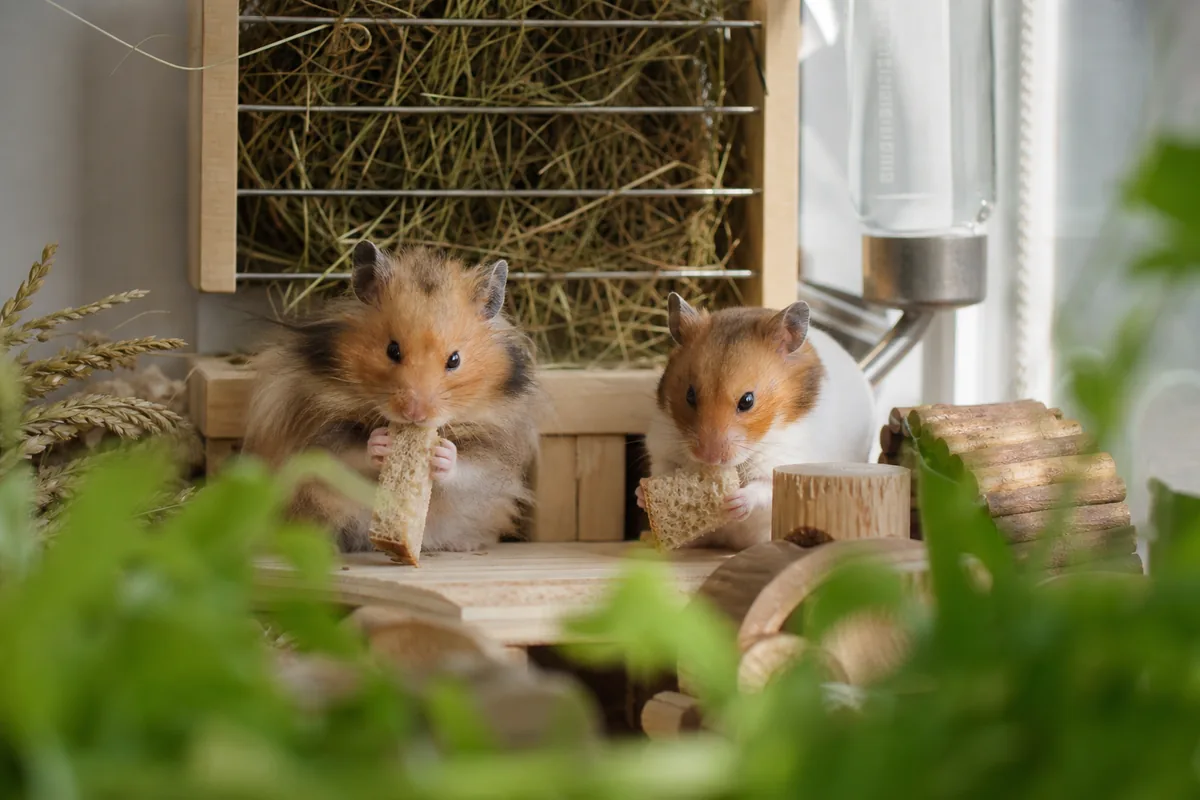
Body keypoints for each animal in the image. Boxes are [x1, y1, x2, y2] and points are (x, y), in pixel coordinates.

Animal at [242, 241, 544, 554]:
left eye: (455, 360)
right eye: (392, 350)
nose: (415, 413)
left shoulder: (494, 449)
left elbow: (469, 467)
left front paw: (441, 452)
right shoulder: (320, 428)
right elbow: (349, 451)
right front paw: (381, 443)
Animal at [639, 293, 876, 551]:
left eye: (747, 401)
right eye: (689, 395)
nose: (709, 458)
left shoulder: (785, 462)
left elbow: (764, 488)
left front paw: (735, 501)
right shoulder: (662, 444)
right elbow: (662, 469)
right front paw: (641, 492)